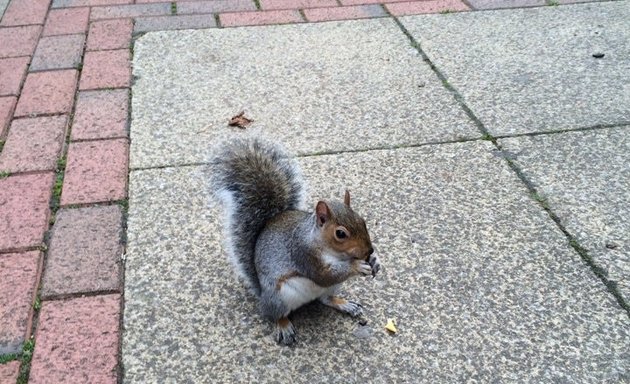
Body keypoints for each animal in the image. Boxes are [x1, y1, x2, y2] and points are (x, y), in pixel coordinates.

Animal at [211, 138, 380, 344]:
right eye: (340, 234)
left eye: (362, 220)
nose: (368, 251)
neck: (333, 252)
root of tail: (262, 294)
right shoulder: (303, 253)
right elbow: (323, 275)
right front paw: (357, 266)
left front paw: (374, 261)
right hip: (279, 297)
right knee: (273, 314)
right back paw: (283, 325)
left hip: (330, 289)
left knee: (325, 299)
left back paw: (344, 304)